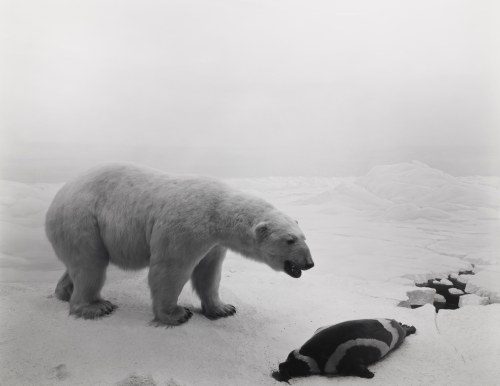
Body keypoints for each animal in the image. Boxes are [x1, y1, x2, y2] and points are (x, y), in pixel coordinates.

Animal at [46, 163, 312, 326]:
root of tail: (56, 198)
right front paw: (176, 314)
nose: (309, 263)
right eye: (290, 240)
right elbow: (170, 269)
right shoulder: (186, 227)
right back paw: (95, 306)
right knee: (90, 264)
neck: (218, 211)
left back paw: (64, 292)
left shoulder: (214, 243)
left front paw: (223, 308)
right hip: (82, 220)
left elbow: (209, 273)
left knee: (80, 264)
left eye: (304, 236)